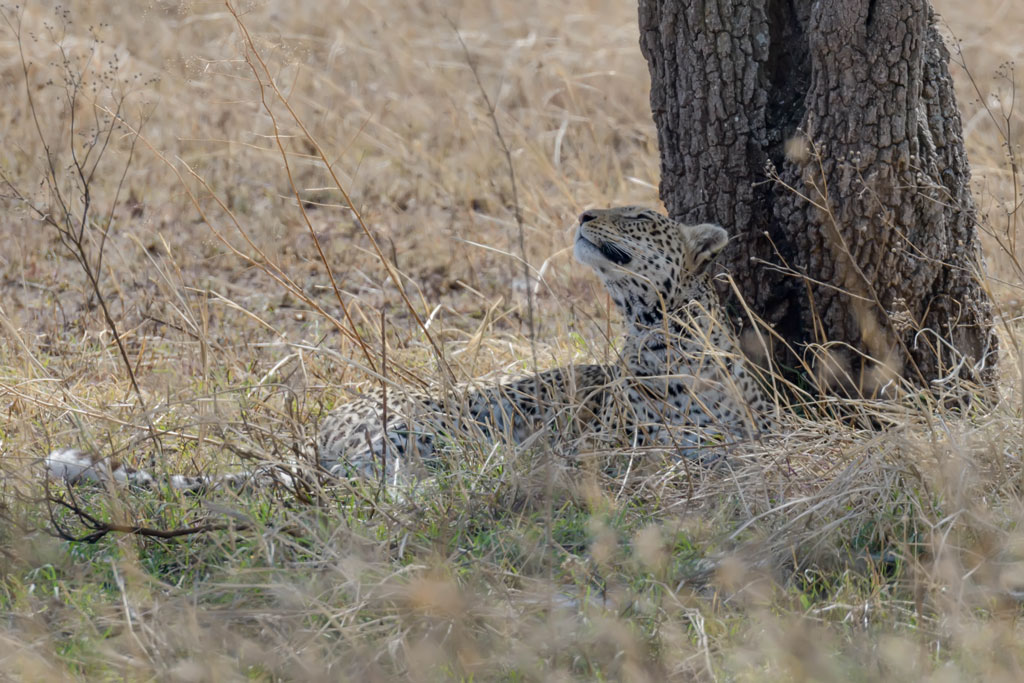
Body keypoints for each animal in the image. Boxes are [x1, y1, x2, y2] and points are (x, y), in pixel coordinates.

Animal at [46, 207, 771, 491]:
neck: (666, 339)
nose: (585, 214)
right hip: (430, 428)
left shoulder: (753, 435)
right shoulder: (618, 450)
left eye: (641, 216)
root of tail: (321, 430)